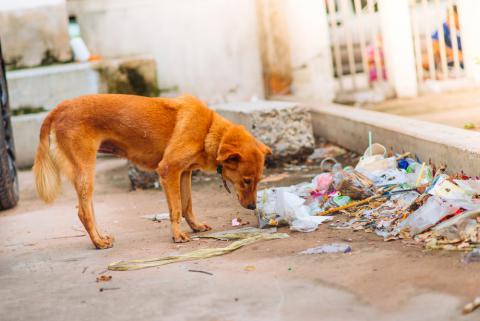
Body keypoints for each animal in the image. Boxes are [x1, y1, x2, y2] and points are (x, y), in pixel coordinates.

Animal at [33, 93, 272, 248]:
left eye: (259, 180)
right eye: (246, 181)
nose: (253, 207)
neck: (209, 130)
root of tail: (59, 108)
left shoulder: (184, 173)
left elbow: (186, 205)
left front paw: (194, 226)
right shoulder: (168, 170)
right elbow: (176, 209)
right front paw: (177, 235)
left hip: (86, 174)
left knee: (88, 210)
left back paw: (100, 238)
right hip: (85, 171)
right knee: (83, 213)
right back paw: (98, 242)